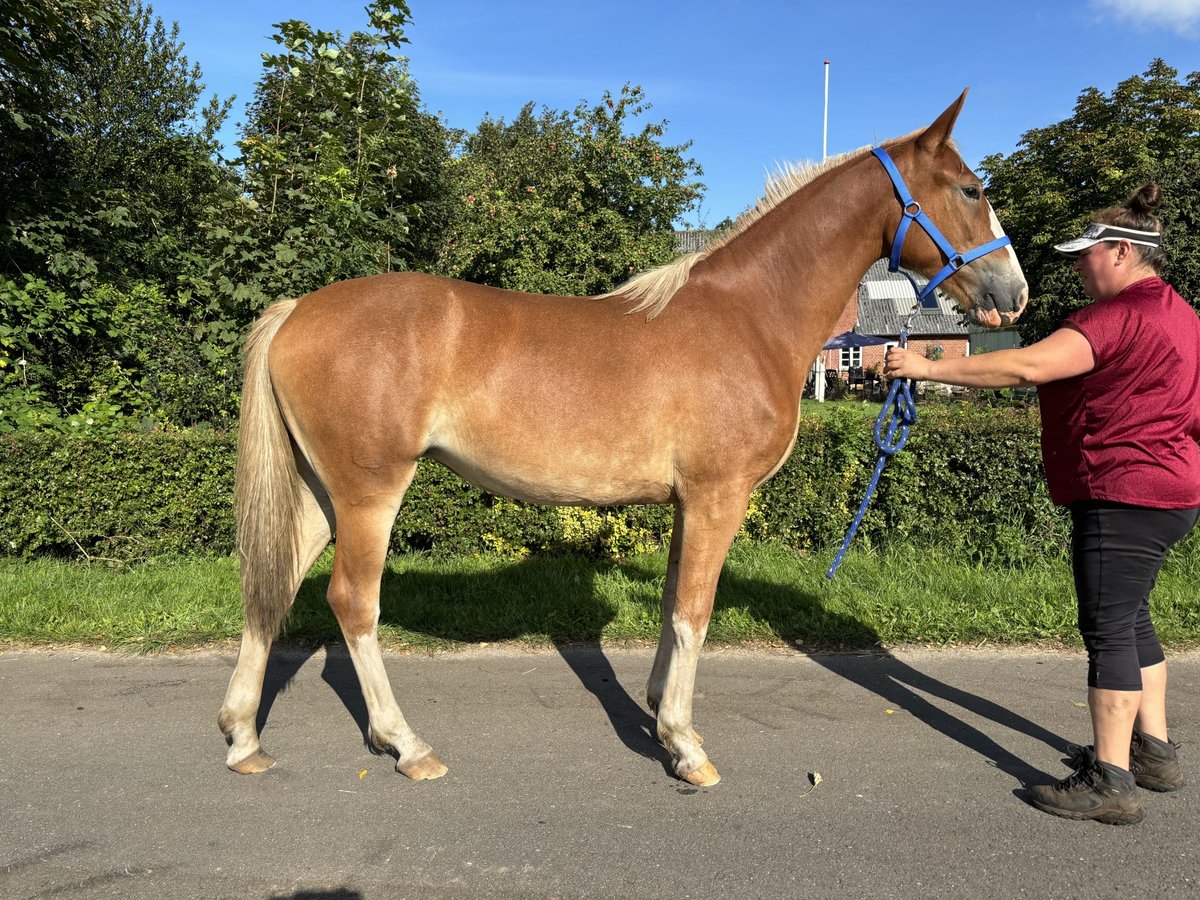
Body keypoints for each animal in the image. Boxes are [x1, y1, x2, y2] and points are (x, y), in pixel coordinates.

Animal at [220, 93, 1027, 787]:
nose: (1013, 292)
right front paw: (687, 747)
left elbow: (673, 603)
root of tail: (297, 312)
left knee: (275, 584)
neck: (747, 314)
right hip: (368, 492)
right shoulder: (717, 497)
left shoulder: (686, 503)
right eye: (969, 189)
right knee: (353, 603)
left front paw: (660, 715)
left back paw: (244, 736)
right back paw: (407, 745)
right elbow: (694, 611)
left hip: (321, 494)